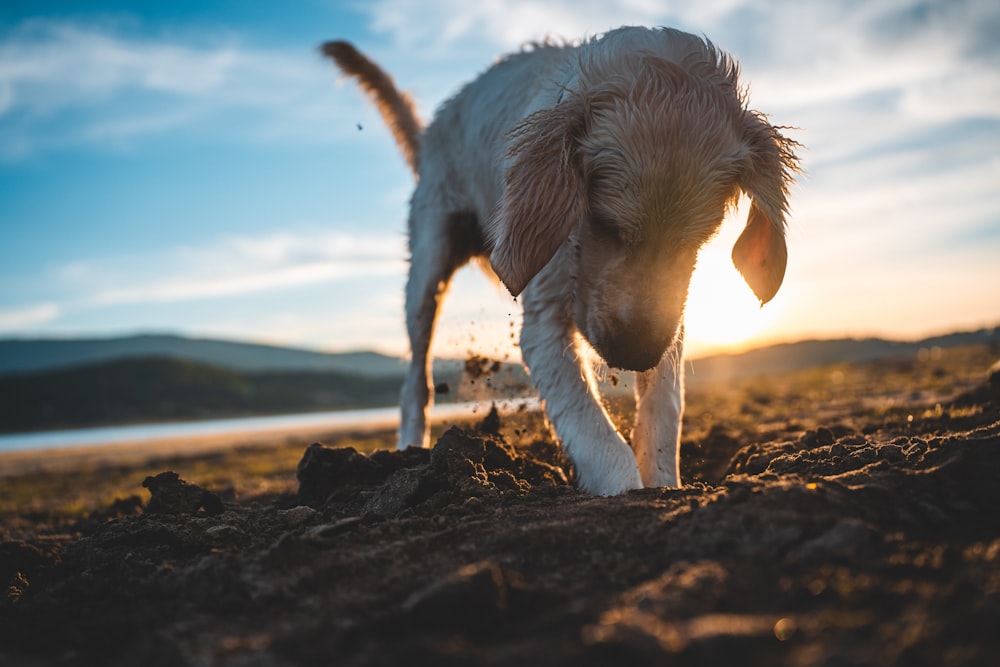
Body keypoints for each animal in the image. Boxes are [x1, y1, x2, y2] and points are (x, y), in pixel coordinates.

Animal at [324, 26, 800, 496]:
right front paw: (627, 488)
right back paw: (410, 447)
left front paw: (666, 485)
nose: (636, 355)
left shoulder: (671, 317)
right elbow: (597, 436)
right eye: (604, 223)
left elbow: (664, 410)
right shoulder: (544, 325)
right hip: (428, 262)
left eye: (701, 238)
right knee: (415, 380)